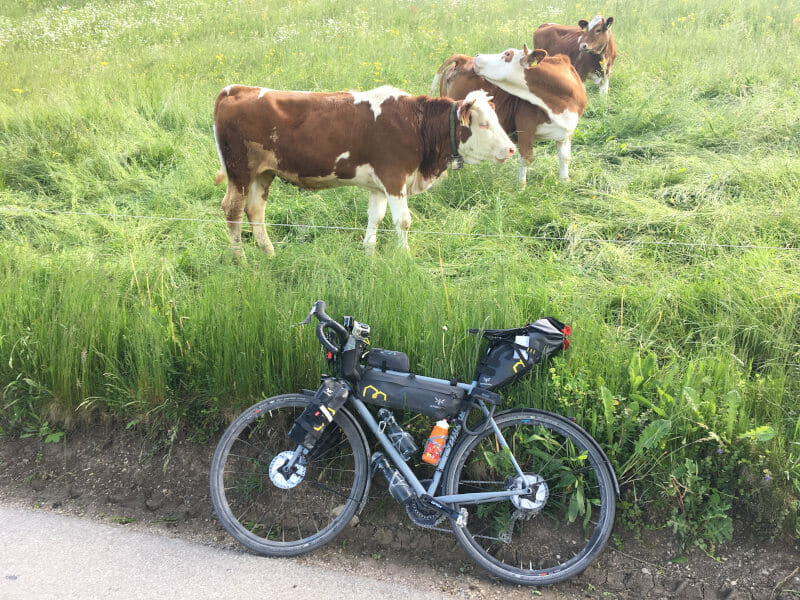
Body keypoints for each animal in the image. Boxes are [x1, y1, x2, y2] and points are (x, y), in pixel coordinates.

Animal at [211, 82, 512, 255]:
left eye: (497, 119)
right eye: (484, 123)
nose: (510, 149)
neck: (414, 124)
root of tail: (236, 89)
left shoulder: (379, 185)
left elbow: (375, 217)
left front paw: (369, 252)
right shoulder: (394, 178)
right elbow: (403, 221)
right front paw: (405, 256)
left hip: (264, 173)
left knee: (255, 210)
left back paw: (269, 252)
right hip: (240, 171)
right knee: (233, 210)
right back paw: (240, 259)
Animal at [432, 47, 588, 185]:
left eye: (507, 53)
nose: (477, 56)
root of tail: (464, 59)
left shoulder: (567, 130)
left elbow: (565, 157)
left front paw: (564, 181)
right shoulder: (525, 128)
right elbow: (526, 158)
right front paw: (521, 186)